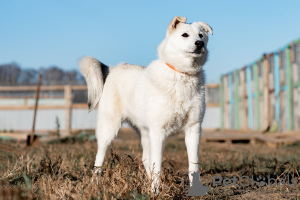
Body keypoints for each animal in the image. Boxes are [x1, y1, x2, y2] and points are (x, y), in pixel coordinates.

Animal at [78, 16, 212, 193]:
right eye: (185, 35)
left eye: (201, 35)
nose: (199, 43)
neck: (182, 75)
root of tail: (114, 68)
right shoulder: (158, 132)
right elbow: (158, 165)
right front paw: (156, 191)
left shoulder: (193, 129)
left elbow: (193, 164)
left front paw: (195, 189)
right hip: (109, 129)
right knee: (99, 158)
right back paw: (95, 184)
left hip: (144, 133)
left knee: (145, 159)